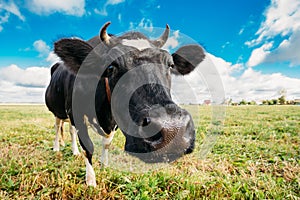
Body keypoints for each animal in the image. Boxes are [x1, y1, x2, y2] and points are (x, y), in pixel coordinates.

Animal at [45, 21, 206, 186]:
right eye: (111, 67)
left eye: (170, 65)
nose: (173, 130)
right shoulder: (76, 113)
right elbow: (88, 147)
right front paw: (91, 181)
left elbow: (106, 143)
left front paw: (104, 165)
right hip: (58, 111)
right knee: (58, 127)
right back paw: (57, 147)